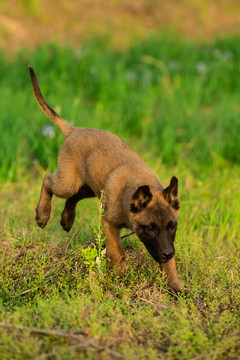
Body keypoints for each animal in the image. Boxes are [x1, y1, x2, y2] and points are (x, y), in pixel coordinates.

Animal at [28, 66, 182, 294]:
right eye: (150, 228)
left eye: (172, 226)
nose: (167, 253)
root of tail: (74, 130)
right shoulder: (109, 223)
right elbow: (117, 253)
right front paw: (120, 278)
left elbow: (169, 266)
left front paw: (175, 286)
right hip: (68, 183)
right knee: (48, 179)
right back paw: (42, 214)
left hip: (89, 187)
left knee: (73, 198)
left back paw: (67, 219)